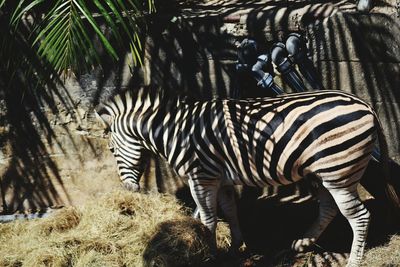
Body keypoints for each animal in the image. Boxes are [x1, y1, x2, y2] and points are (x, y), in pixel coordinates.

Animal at [95, 87, 398, 266]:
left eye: (111, 150)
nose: (129, 190)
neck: (176, 132)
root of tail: (366, 104)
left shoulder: (202, 176)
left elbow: (208, 217)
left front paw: (210, 252)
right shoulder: (221, 180)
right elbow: (228, 211)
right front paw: (234, 248)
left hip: (338, 170)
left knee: (359, 216)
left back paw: (354, 260)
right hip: (324, 172)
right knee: (328, 209)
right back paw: (303, 242)